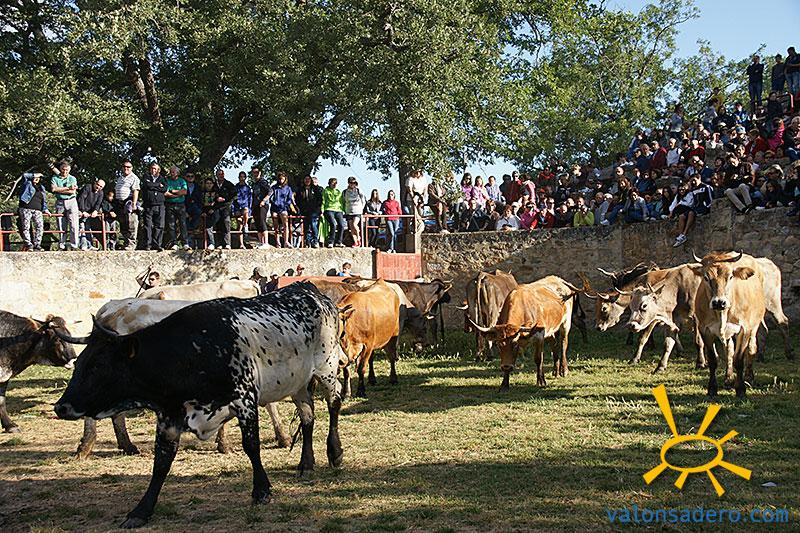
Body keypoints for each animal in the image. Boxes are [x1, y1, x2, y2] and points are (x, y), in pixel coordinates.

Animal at [54, 282, 348, 529]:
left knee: (334, 403)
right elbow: (161, 463)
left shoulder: (245, 399)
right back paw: (306, 463)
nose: (61, 407)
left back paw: (334, 452)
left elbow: (251, 446)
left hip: (327, 368)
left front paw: (261, 490)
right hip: (298, 383)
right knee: (307, 416)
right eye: (80, 364)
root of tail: (312, 292)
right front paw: (141, 510)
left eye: (98, 367)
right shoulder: (169, 415)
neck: (192, 350)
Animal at [689, 251, 766, 397]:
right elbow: (713, 360)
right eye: (706, 277)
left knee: (752, 348)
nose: (719, 302)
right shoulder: (705, 329)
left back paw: (748, 377)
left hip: (754, 326)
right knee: (729, 350)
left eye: (730, 277)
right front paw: (712, 388)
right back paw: (729, 378)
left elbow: (739, 359)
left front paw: (740, 389)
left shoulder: (744, 329)